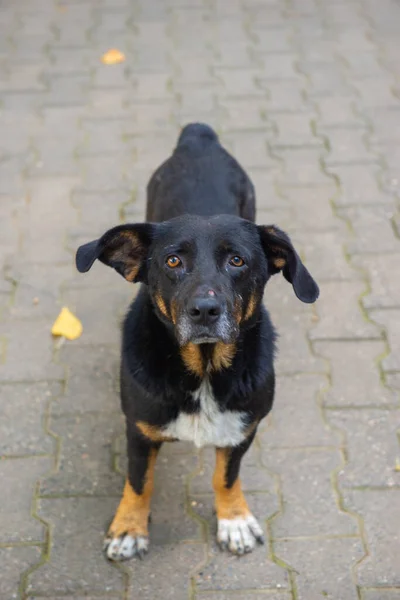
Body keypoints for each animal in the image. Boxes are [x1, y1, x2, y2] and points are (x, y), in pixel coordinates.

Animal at [75, 124, 318, 560]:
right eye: (173, 261)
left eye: (238, 261)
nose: (205, 310)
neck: (204, 368)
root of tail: (199, 135)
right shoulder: (138, 429)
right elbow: (139, 482)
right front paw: (129, 528)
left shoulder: (243, 428)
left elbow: (226, 477)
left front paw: (234, 520)